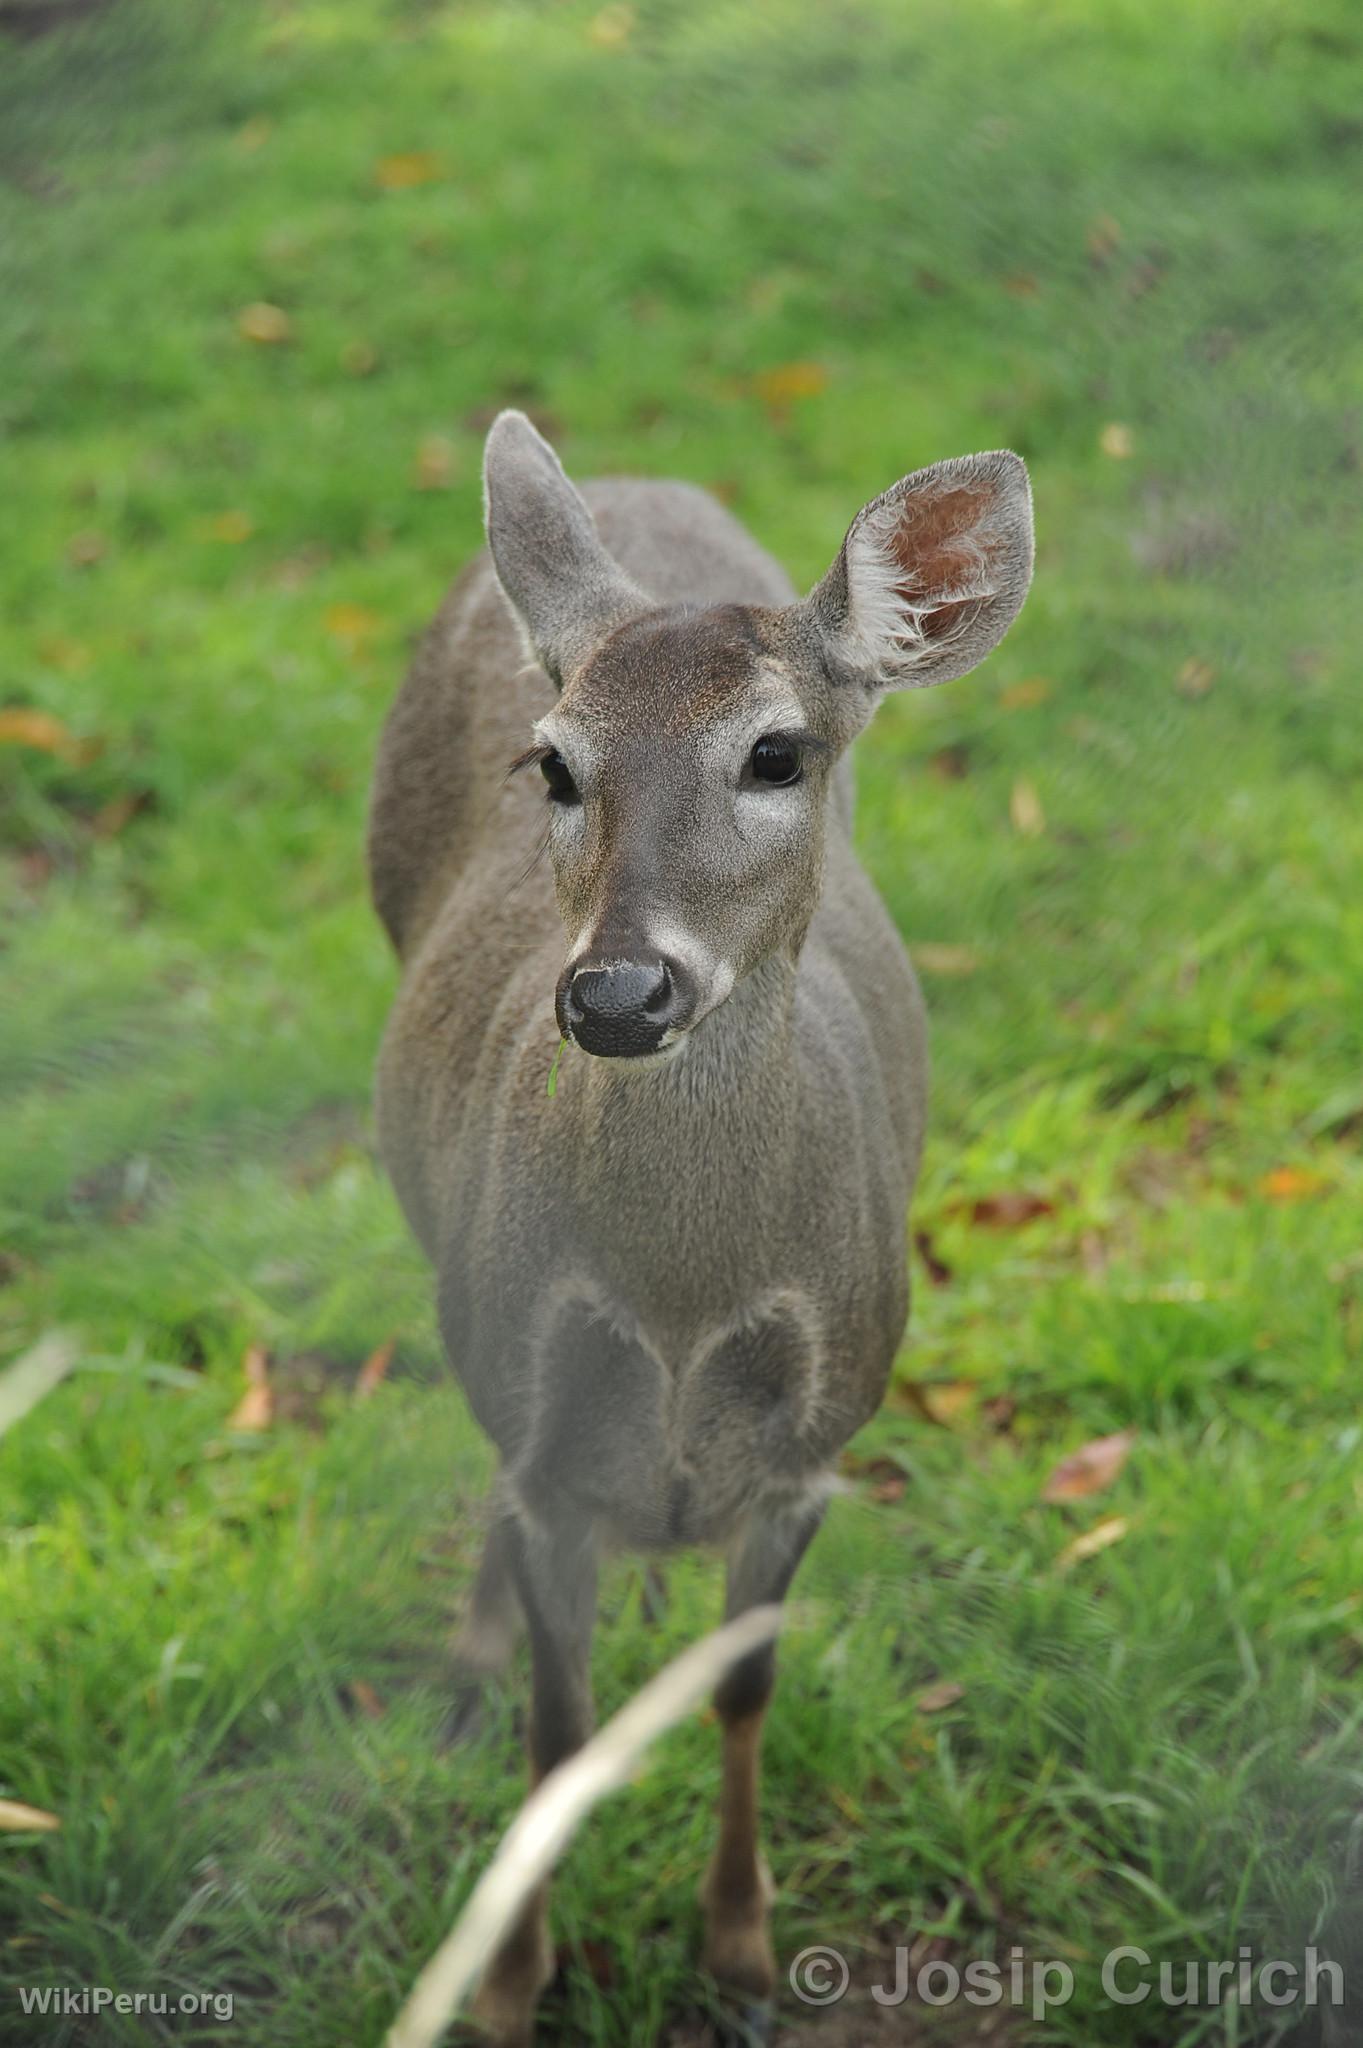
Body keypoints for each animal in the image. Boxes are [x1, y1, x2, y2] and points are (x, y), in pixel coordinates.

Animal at [366, 407, 1023, 2039]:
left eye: (776, 752)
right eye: (550, 763)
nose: (614, 990)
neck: (682, 1290)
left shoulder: (819, 1433)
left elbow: (740, 1689)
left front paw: (736, 1953)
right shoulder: (541, 1427)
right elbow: (561, 1721)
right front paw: (506, 1983)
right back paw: (466, 1667)